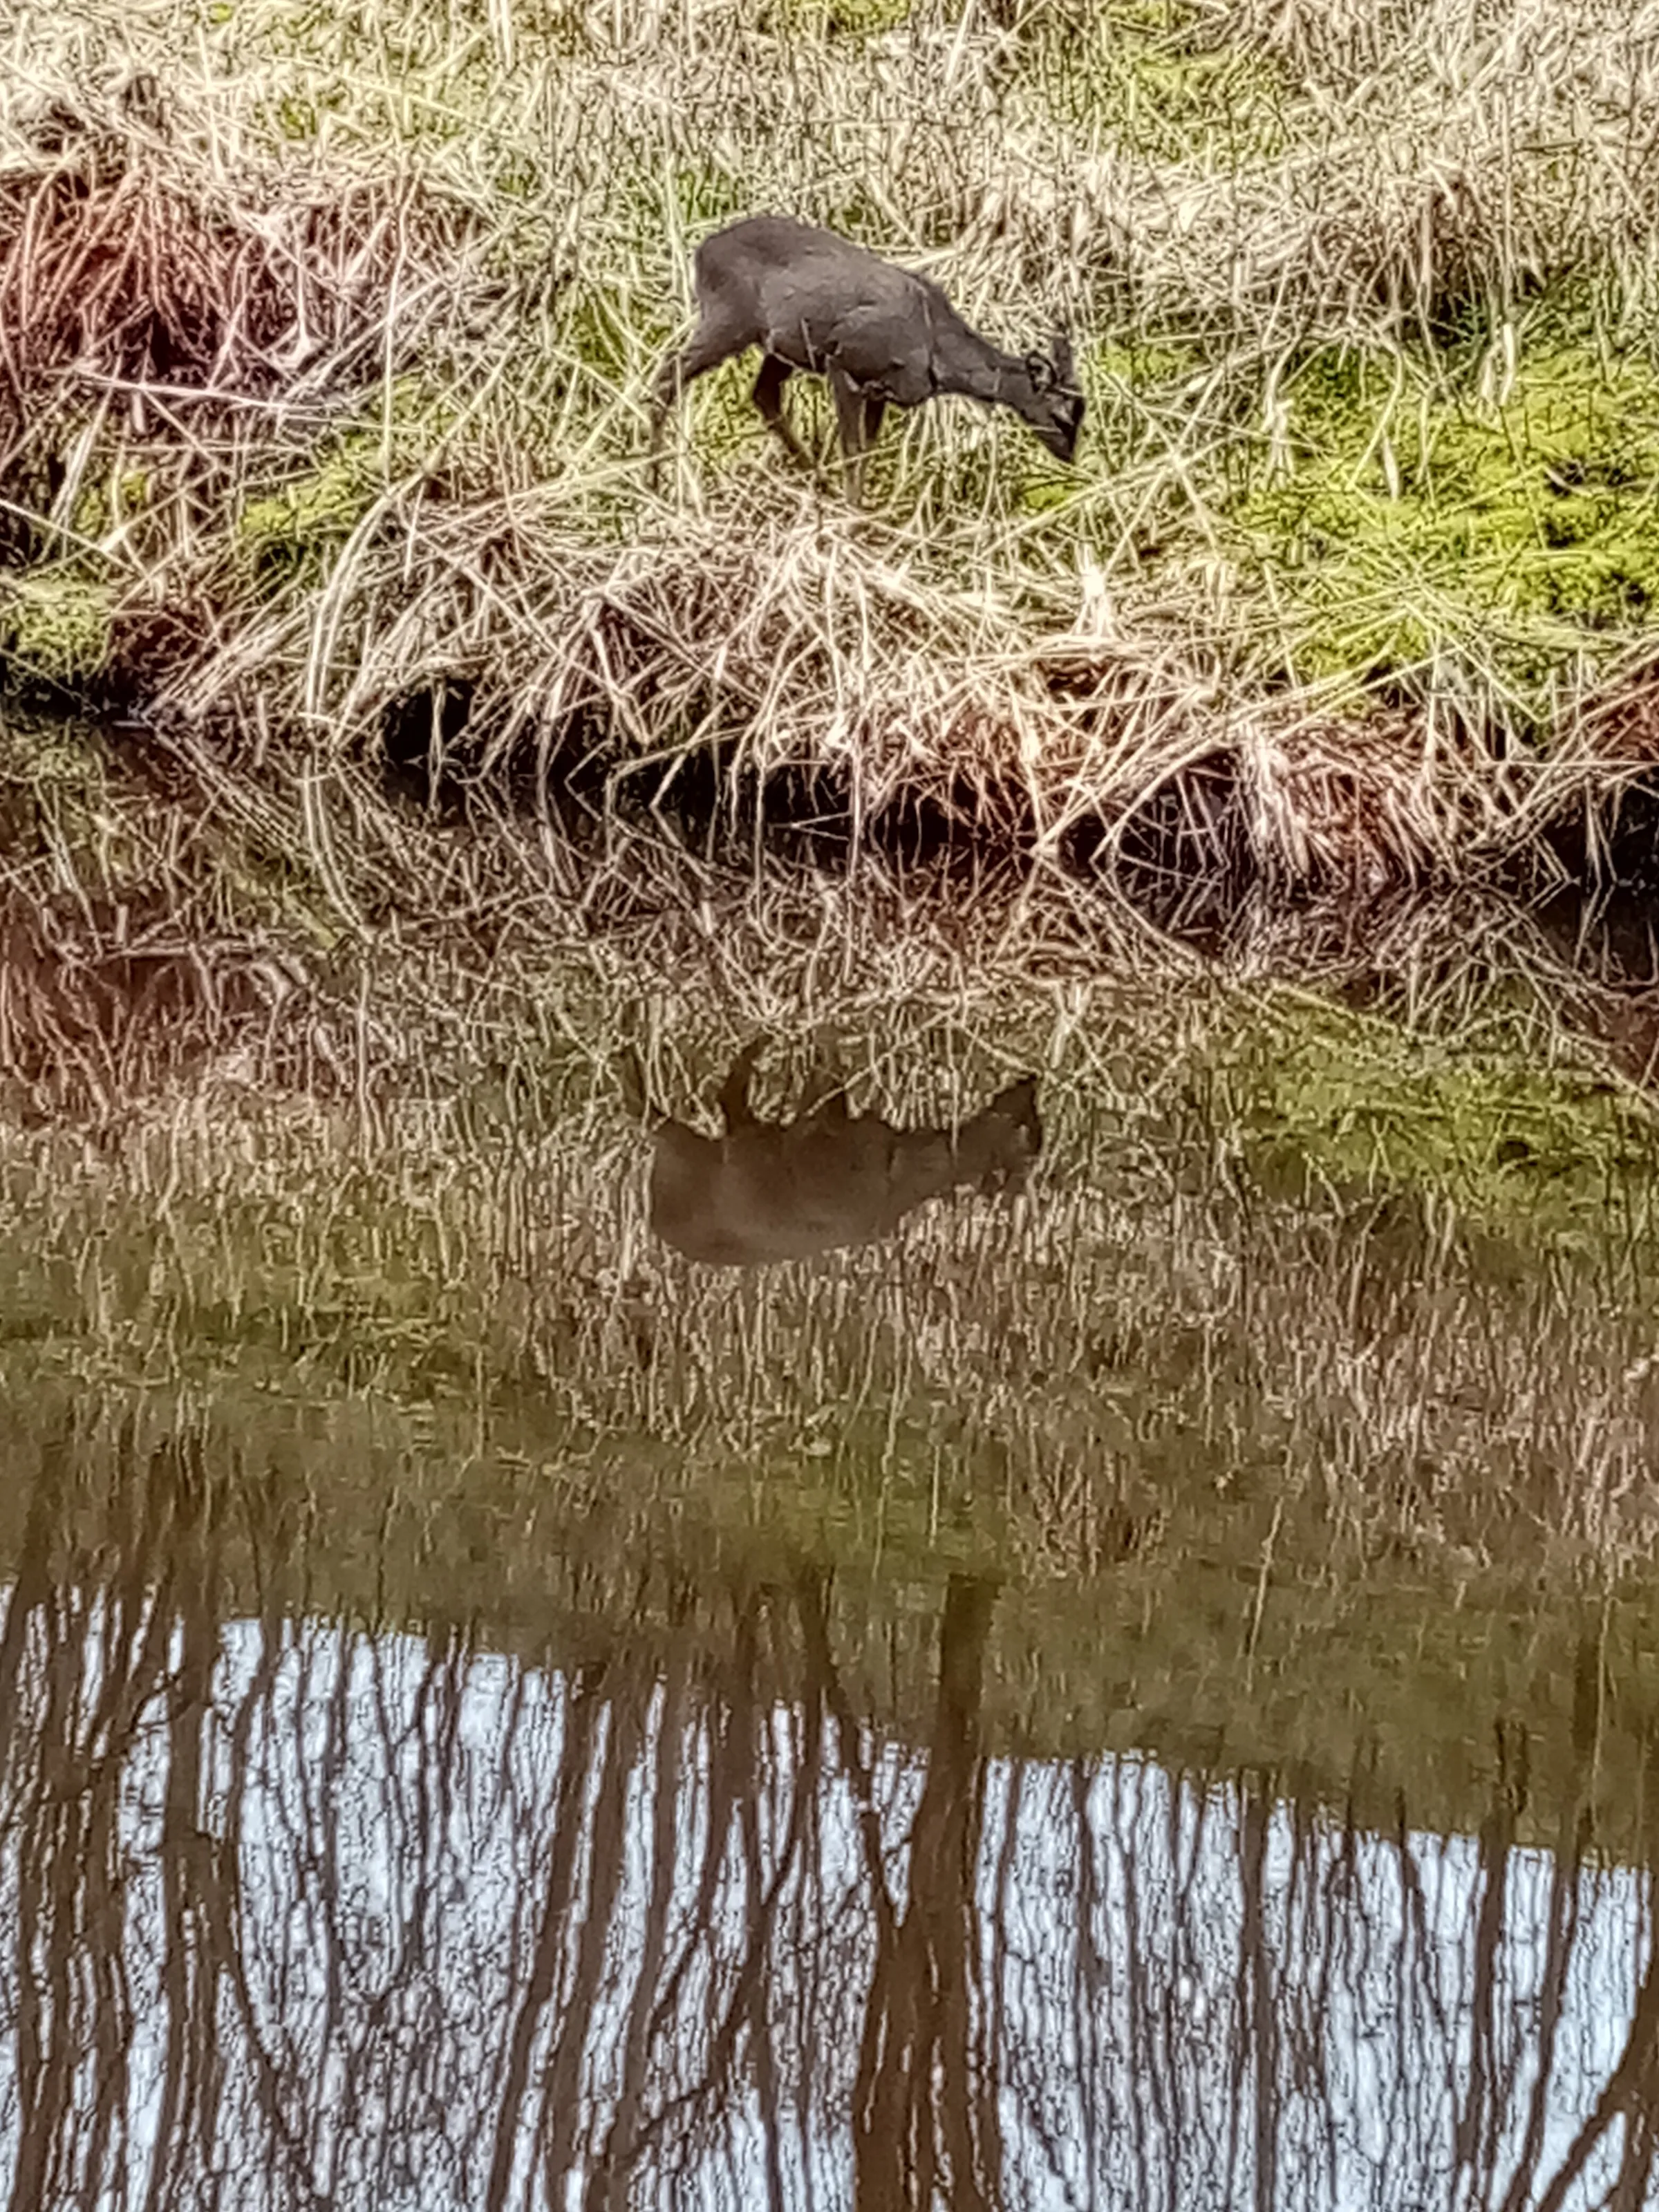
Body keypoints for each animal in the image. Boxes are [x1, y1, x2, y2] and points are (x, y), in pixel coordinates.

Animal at [649, 215, 1084, 503]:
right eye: (1061, 415)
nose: (1070, 456)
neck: (935, 349)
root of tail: (700, 252)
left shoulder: (882, 392)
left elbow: (868, 451)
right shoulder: (845, 361)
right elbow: (853, 449)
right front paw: (853, 513)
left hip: (780, 343)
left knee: (763, 394)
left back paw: (817, 484)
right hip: (730, 318)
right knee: (668, 375)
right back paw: (654, 482)